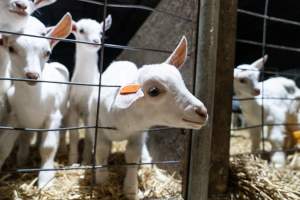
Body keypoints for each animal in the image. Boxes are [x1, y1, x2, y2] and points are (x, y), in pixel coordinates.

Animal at [0, 13, 72, 188]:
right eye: (11, 49)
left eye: (47, 52)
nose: (32, 75)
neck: (33, 100)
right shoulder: (15, 116)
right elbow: (4, 146)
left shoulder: (53, 116)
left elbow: (48, 147)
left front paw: (45, 179)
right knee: (26, 138)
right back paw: (22, 159)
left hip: (65, 110)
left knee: (63, 129)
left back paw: (63, 150)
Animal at [64, 14, 112, 165]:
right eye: (81, 30)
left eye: (101, 32)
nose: (96, 41)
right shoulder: (73, 106)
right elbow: (73, 134)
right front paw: (72, 162)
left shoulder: (89, 111)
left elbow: (89, 135)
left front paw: (85, 161)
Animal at [86, 36, 207, 199]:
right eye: (154, 91)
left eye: (181, 82)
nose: (202, 112)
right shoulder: (97, 128)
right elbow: (101, 150)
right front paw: (102, 180)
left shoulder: (138, 132)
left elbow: (132, 155)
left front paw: (131, 189)